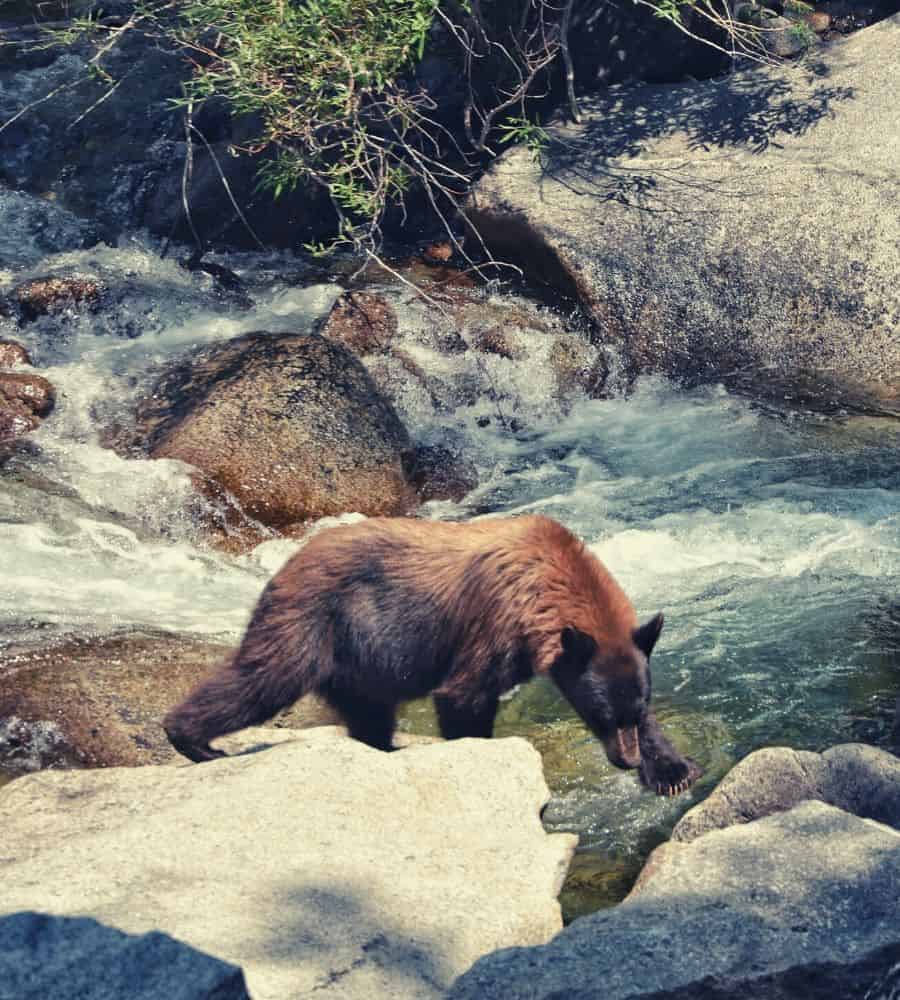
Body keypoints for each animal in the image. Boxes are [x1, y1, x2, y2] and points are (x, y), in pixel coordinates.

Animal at [163, 516, 704, 796]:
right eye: (599, 715)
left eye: (633, 712)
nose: (625, 761)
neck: (549, 575)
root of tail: (283, 565)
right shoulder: (495, 623)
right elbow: (464, 695)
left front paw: (673, 770)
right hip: (314, 626)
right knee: (261, 679)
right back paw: (192, 739)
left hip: (361, 666)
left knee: (368, 715)